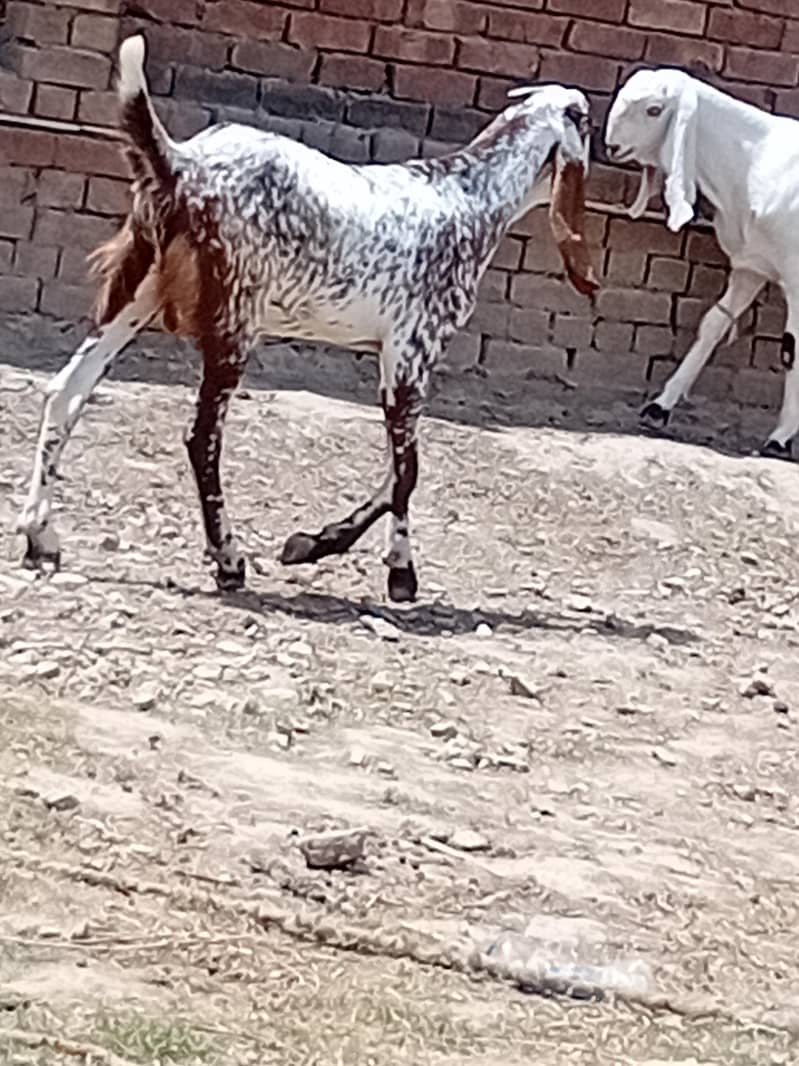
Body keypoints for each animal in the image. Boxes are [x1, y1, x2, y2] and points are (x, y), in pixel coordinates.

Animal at [17, 34, 598, 603]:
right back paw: (228, 559)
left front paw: (323, 545)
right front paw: (395, 570)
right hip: (233, 325)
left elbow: (397, 471)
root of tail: (183, 165)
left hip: (132, 300)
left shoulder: (393, 359)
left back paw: (39, 534)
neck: (469, 194)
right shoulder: (412, 352)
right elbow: (406, 472)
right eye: (589, 123)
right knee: (201, 439)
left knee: (66, 393)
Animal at [605, 68, 799, 459]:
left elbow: (792, 351)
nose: (612, 146)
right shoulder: (752, 266)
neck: (757, 162)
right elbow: (713, 324)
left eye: (653, 109)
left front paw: (780, 438)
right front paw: (659, 407)